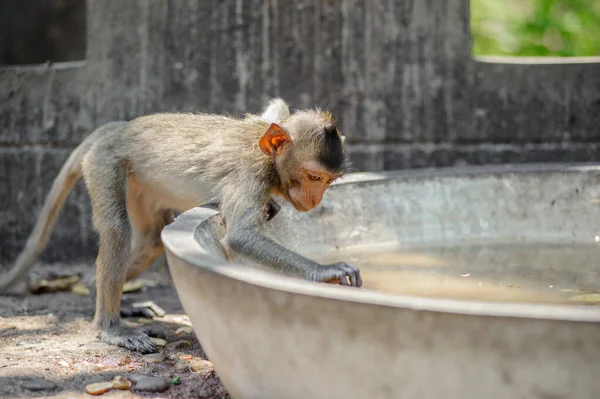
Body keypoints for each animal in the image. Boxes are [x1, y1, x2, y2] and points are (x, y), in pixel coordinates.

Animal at [0, 98, 360, 354]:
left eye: (328, 181)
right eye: (313, 177)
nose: (315, 199)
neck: (270, 162)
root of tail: (117, 128)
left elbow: (276, 108)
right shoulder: (250, 173)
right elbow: (240, 237)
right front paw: (324, 271)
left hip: (141, 184)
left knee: (149, 242)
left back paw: (112, 300)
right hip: (106, 163)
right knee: (117, 231)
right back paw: (111, 326)